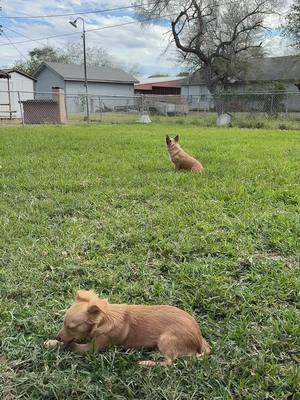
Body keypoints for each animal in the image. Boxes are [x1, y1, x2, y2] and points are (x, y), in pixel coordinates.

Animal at [44, 290, 210, 368]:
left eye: (71, 327)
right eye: (63, 323)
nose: (58, 337)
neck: (104, 320)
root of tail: (199, 339)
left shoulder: (92, 348)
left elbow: (70, 345)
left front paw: (55, 344)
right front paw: (53, 342)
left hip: (166, 339)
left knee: (170, 362)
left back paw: (146, 363)